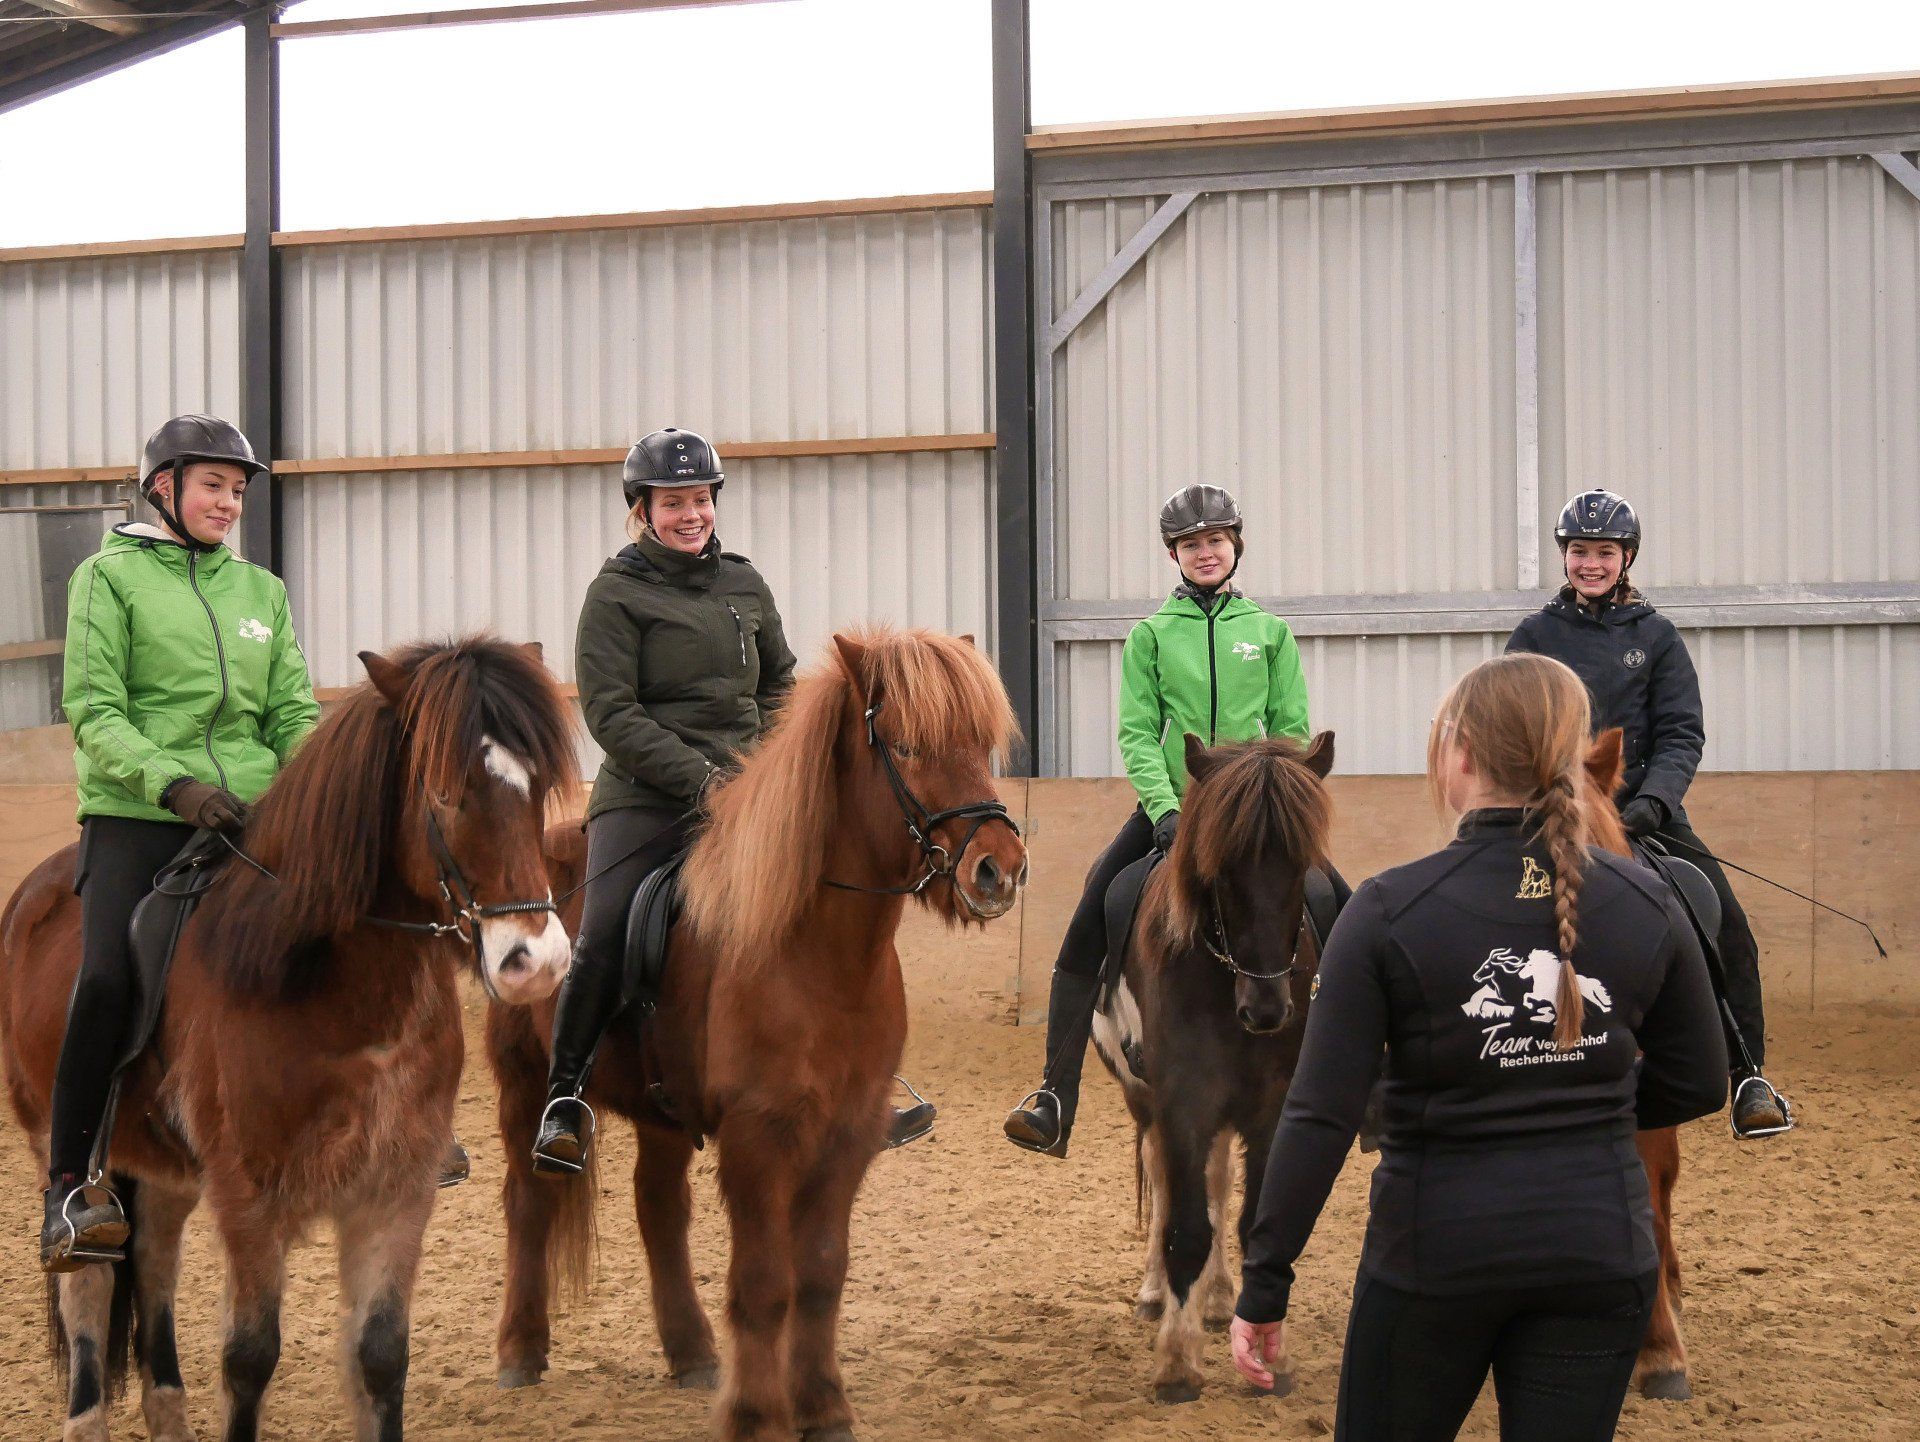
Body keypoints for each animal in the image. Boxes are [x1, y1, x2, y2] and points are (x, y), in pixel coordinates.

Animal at [0, 636, 578, 1442]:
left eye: (536, 787)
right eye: (443, 791)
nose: (537, 962)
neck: (336, 997)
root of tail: (35, 890)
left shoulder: (395, 1193)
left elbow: (381, 1358)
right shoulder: (250, 1198)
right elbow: (249, 1359)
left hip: (168, 1172)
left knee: (153, 1261)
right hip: (64, 1149)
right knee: (87, 1285)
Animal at [486, 627, 1028, 1442]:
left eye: (979, 743)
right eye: (905, 748)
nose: (999, 869)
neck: (820, 957)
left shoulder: (847, 1136)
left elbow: (821, 1275)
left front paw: (824, 1407)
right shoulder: (758, 1139)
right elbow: (765, 1284)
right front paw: (755, 1416)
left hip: (663, 1111)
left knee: (658, 1208)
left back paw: (691, 1354)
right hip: (522, 1080)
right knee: (528, 1199)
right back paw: (521, 1350)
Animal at [1090, 730, 1336, 1404]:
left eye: (1300, 867)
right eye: (1220, 870)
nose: (1267, 1010)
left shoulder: (1274, 1105)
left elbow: (1252, 1223)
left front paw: (1270, 1357)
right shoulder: (1184, 1101)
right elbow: (1186, 1225)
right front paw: (1177, 1362)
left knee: (1218, 1187)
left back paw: (1221, 1298)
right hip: (1148, 1100)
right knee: (1168, 1184)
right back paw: (1157, 1295)